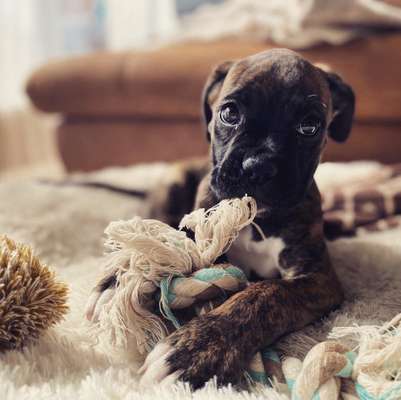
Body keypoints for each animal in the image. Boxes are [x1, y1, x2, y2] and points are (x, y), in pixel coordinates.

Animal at [88, 48, 356, 390]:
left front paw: (197, 350)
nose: (258, 166)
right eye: (229, 113)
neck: (258, 219)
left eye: (309, 125)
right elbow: (165, 247)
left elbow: (267, 294)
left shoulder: (318, 278)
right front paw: (119, 280)